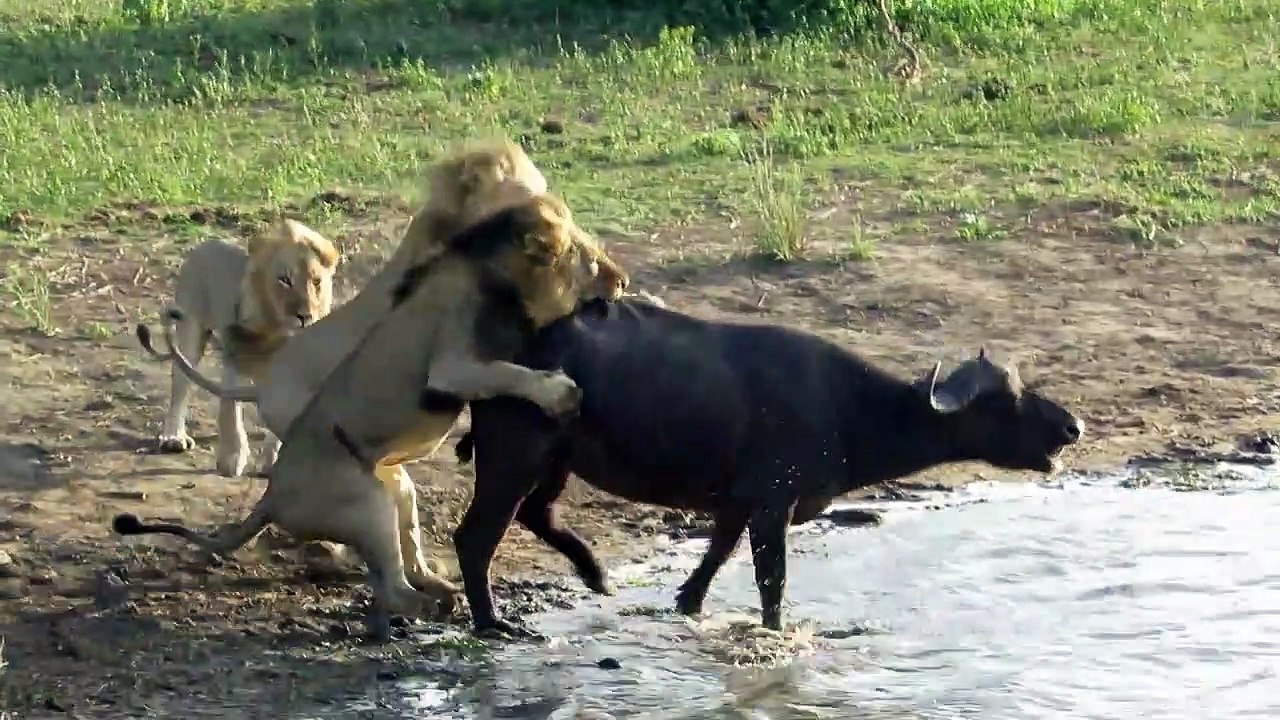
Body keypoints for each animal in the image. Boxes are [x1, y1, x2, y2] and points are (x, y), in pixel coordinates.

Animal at [139, 218, 340, 478]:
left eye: (316, 282)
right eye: (284, 280)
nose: (305, 316)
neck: (279, 329)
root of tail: (205, 244)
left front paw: (273, 460)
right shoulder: (234, 355)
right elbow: (230, 412)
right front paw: (231, 459)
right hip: (191, 328)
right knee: (181, 382)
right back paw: (174, 436)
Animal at [449, 298, 1083, 636]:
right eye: (1006, 401)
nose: (1072, 427)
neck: (845, 408)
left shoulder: (738, 505)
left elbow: (712, 560)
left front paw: (687, 603)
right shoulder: (773, 503)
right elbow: (770, 581)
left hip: (554, 464)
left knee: (536, 515)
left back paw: (594, 573)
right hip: (513, 459)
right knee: (475, 537)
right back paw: (494, 622)